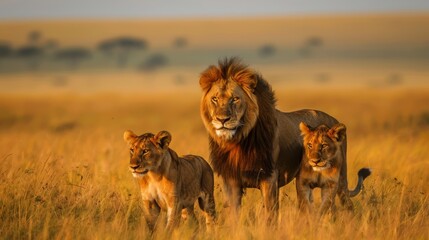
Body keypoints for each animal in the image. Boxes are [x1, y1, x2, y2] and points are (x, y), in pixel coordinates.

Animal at [199, 57, 350, 221]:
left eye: (235, 99)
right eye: (214, 99)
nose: (222, 120)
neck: (238, 142)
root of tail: (333, 120)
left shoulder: (269, 176)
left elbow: (270, 215)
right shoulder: (231, 179)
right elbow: (234, 215)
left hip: (339, 178)